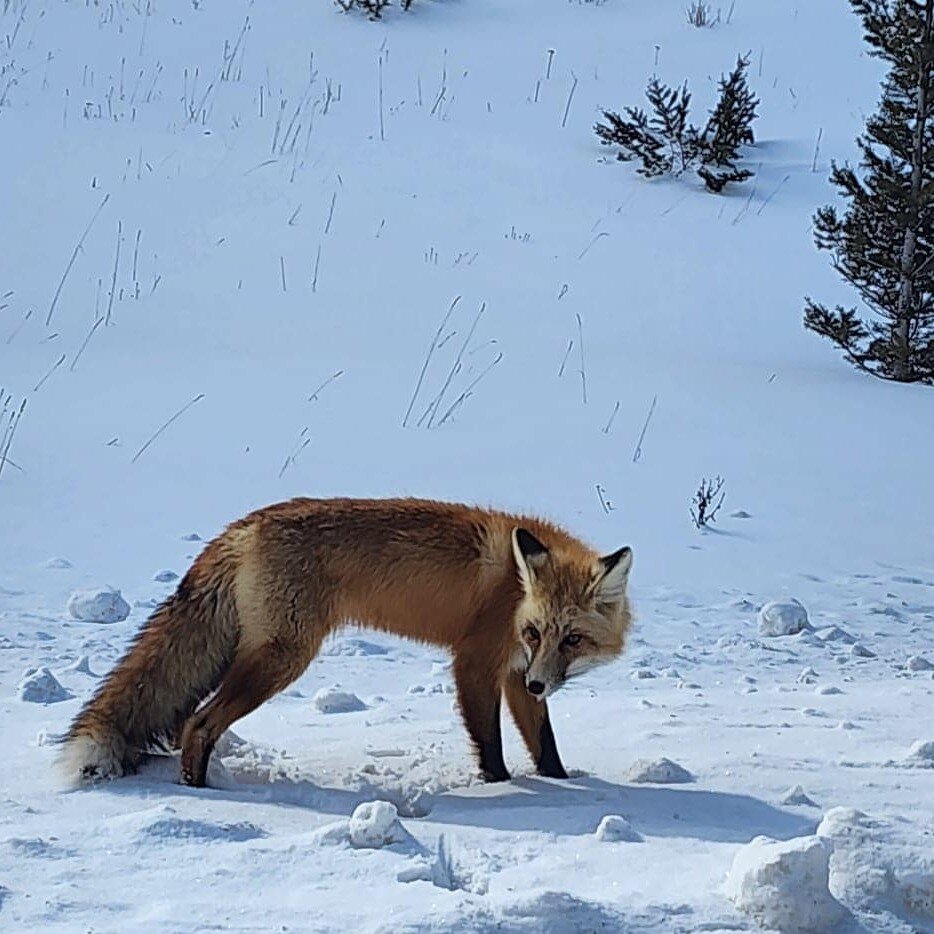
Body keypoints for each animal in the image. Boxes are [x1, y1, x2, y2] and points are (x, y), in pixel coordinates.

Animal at [62, 500, 636, 788]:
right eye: (536, 631)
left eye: (572, 639)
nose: (543, 684)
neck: (513, 595)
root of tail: (243, 525)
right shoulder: (476, 661)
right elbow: (491, 746)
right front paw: (506, 791)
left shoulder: (516, 672)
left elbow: (544, 745)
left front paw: (563, 785)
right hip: (282, 658)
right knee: (197, 724)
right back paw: (200, 793)